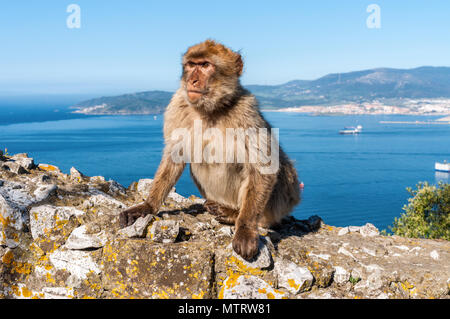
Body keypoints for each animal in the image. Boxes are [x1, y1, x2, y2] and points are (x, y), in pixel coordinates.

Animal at [121, 40, 300, 262]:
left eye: (205, 65)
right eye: (191, 65)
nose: (192, 80)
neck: (210, 110)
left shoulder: (247, 112)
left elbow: (263, 166)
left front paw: (245, 229)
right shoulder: (177, 106)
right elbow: (174, 155)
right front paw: (148, 205)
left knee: (281, 169)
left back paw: (233, 214)